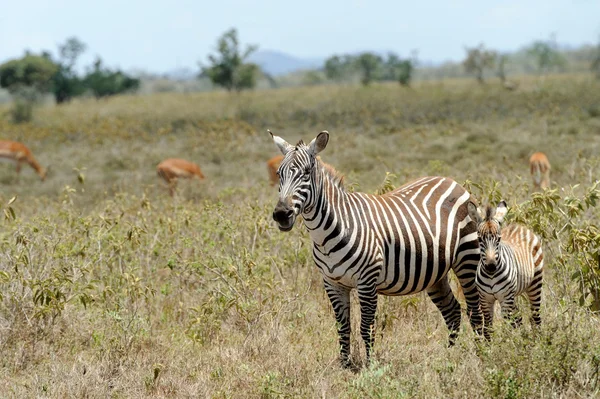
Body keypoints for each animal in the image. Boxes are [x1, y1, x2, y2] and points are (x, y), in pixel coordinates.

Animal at [270, 131, 486, 368]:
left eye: (307, 173)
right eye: (279, 174)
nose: (281, 214)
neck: (328, 233)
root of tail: (451, 181)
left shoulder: (367, 281)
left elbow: (367, 328)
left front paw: (370, 367)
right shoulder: (333, 283)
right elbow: (343, 328)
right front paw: (345, 367)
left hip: (467, 259)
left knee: (475, 312)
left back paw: (481, 354)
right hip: (435, 274)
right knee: (453, 311)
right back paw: (449, 357)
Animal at [466, 202, 548, 340]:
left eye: (498, 239)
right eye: (480, 239)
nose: (491, 267)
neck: (491, 276)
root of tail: (519, 226)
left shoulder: (505, 299)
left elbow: (506, 327)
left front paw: (507, 342)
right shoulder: (485, 300)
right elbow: (488, 328)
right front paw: (490, 345)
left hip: (534, 283)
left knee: (535, 317)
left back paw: (538, 340)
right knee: (519, 318)